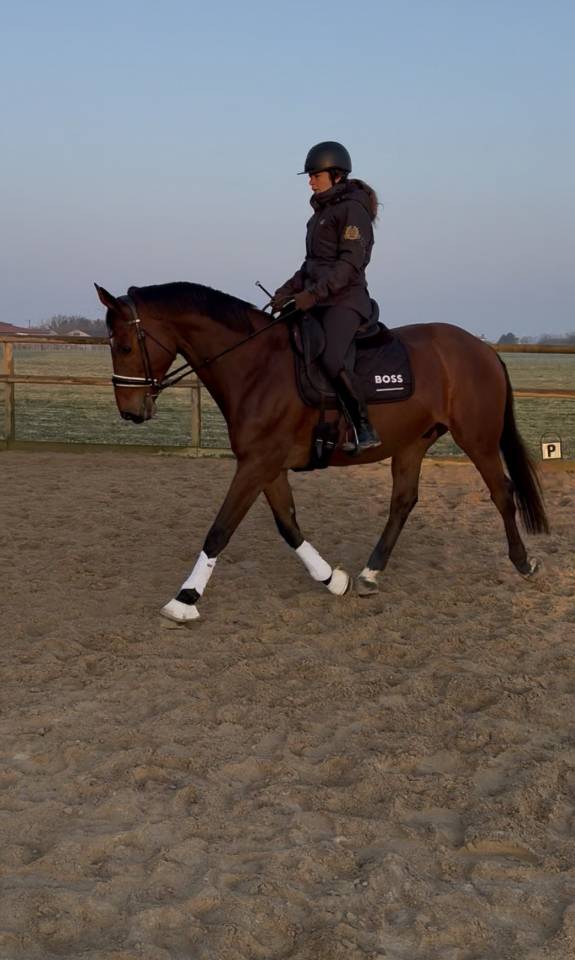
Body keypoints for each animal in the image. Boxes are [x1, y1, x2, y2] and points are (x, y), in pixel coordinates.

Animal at [95, 281, 548, 623]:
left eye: (124, 346)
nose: (130, 412)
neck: (256, 366)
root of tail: (482, 349)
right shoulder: (266, 466)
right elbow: (288, 525)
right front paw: (333, 579)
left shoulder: (256, 464)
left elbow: (220, 529)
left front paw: (184, 600)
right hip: (412, 443)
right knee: (403, 501)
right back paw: (370, 573)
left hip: (478, 440)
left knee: (502, 493)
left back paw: (523, 562)